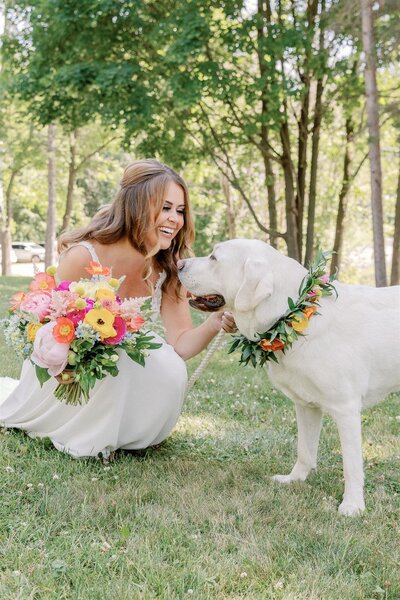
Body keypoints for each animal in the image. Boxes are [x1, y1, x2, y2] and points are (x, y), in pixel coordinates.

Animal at [178, 239, 400, 516]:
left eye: (214, 258)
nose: (178, 263)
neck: (294, 315)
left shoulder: (346, 409)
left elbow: (351, 465)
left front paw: (352, 505)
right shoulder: (306, 406)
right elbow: (304, 450)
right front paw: (295, 479)